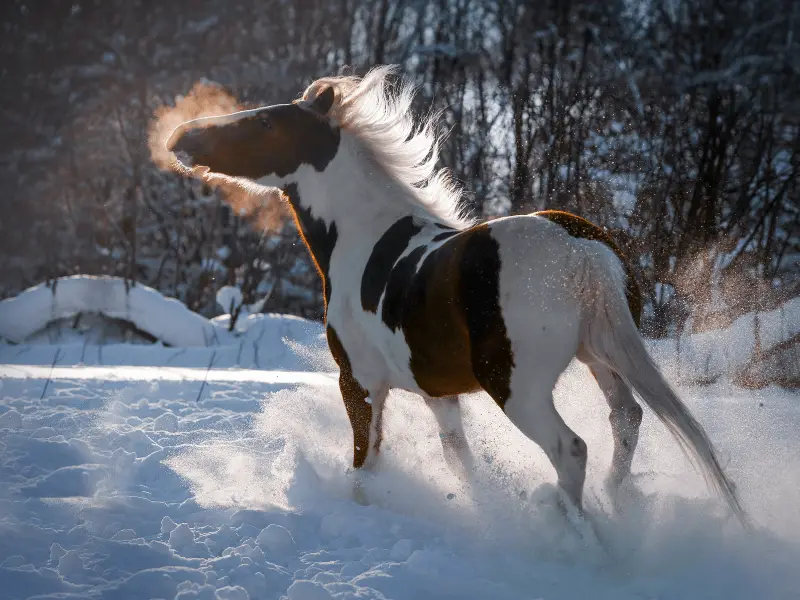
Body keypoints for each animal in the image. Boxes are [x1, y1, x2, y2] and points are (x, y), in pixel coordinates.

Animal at [167, 64, 752, 524]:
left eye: (265, 122)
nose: (179, 138)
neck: (362, 236)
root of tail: (579, 249)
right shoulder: (438, 393)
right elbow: (461, 462)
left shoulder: (360, 384)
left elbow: (365, 465)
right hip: (599, 355)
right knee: (626, 420)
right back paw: (616, 504)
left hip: (518, 388)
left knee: (571, 450)